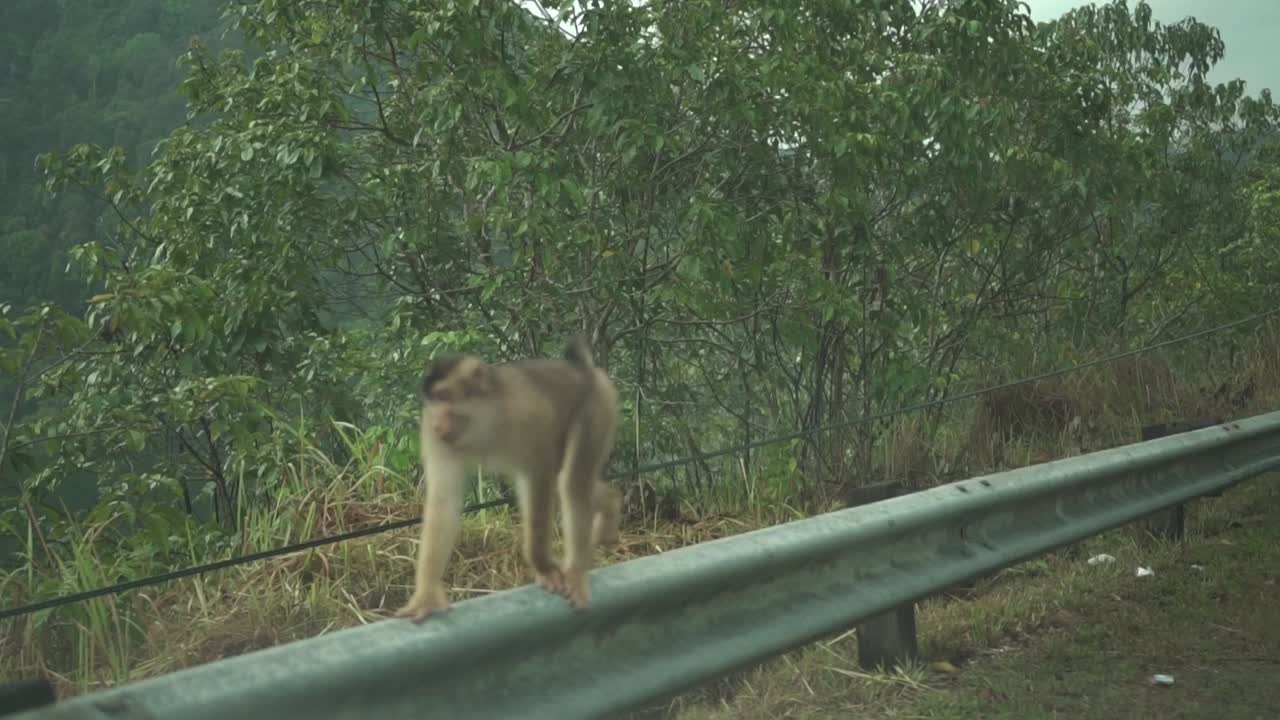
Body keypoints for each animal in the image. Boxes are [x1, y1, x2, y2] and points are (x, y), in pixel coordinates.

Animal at [394, 334, 622, 623]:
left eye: (444, 396)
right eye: (432, 401)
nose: (436, 421)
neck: (483, 420)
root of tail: (581, 367)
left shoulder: (528, 415)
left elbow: (539, 474)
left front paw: (543, 566)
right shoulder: (435, 437)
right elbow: (443, 501)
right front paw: (426, 597)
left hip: (598, 406)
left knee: (571, 482)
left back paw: (577, 572)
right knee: (565, 483)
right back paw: (611, 506)